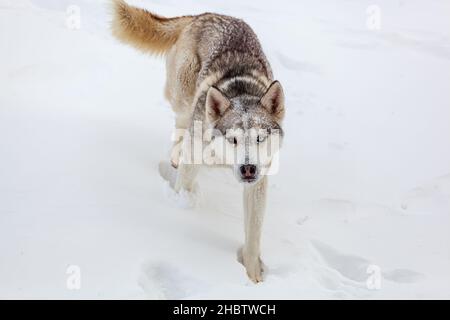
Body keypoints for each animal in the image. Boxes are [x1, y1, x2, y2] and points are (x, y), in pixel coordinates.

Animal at [111, 0, 284, 282]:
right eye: (233, 139)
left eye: (259, 138)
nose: (248, 168)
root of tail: (203, 15)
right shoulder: (195, 156)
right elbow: (184, 184)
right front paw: (181, 208)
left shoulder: (258, 183)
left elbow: (253, 234)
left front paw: (253, 275)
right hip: (184, 100)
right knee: (179, 127)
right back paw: (174, 156)